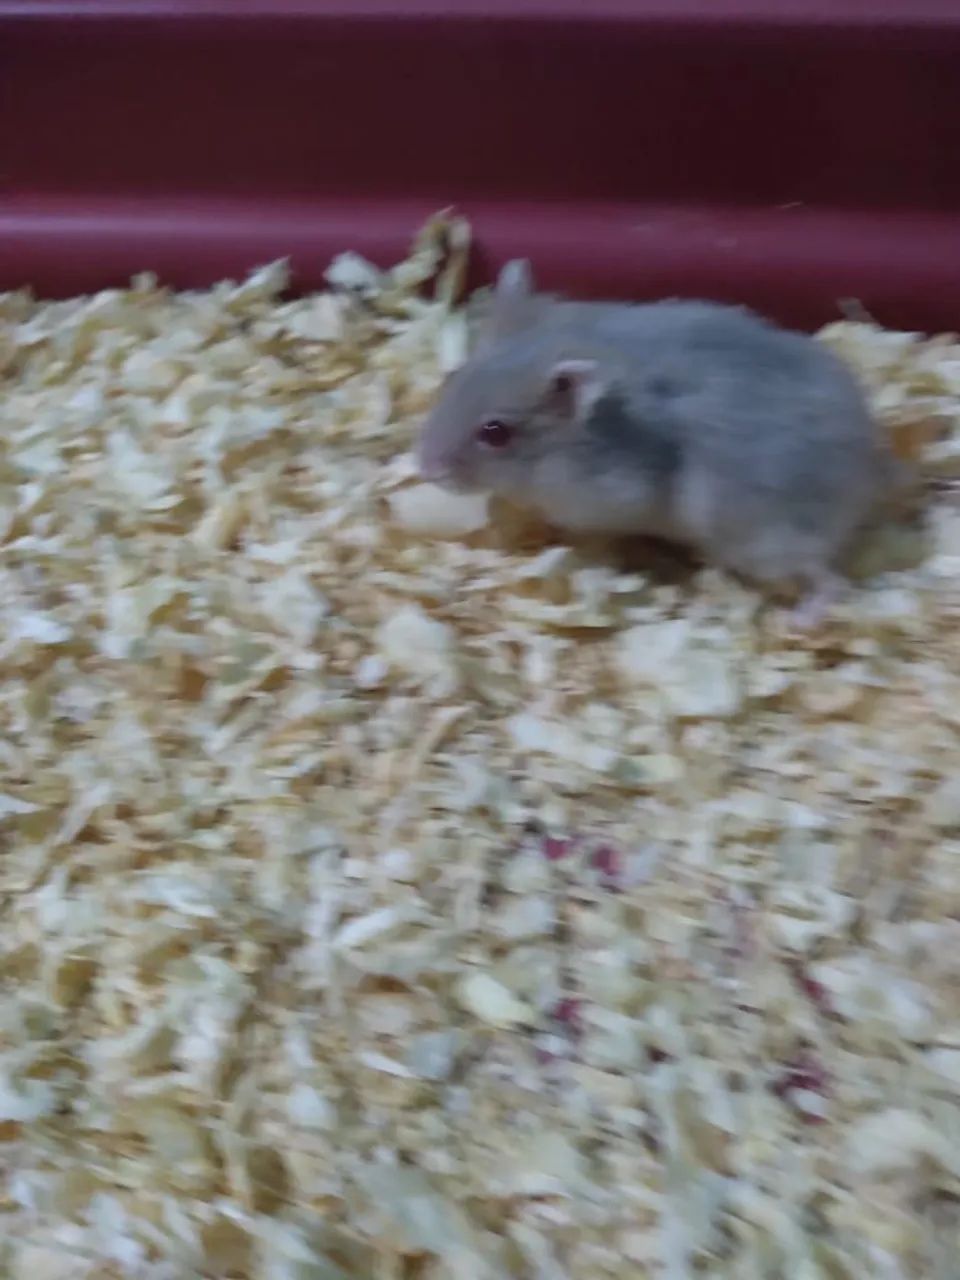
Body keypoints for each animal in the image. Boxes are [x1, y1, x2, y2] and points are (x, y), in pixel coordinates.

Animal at [416, 260, 898, 625]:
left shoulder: (607, 499)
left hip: (764, 539)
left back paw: (800, 620)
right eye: (451, 378)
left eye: (495, 433)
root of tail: (868, 471)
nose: (425, 468)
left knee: (830, 579)